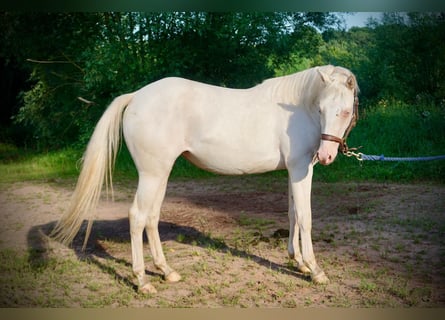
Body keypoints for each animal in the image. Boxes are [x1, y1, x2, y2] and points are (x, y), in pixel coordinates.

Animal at [51, 63, 358, 294]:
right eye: (322, 109)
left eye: (343, 111)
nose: (327, 155)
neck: (298, 109)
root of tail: (136, 96)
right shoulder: (300, 169)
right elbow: (305, 217)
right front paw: (315, 270)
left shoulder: (296, 170)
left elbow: (293, 214)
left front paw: (298, 262)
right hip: (152, 175)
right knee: (138, 216)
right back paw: (142, 281)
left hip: (160, 174)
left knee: (151, 217)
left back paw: (167, 271)